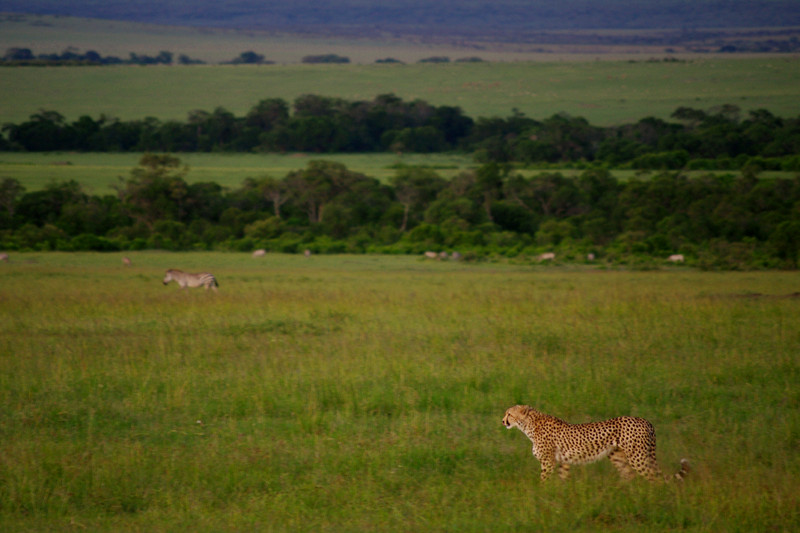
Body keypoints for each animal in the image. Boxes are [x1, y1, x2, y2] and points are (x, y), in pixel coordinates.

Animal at [500, 406, 688, 480]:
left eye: (509, 414)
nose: (503, 421)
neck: (529, 424)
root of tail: (646, 421)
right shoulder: (563, 462)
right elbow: (562, 481)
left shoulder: (548, 462)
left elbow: (543, 480)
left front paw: (542, 494)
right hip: (617, 456)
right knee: (629, 476)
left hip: (638, 457)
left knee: (653, 477)